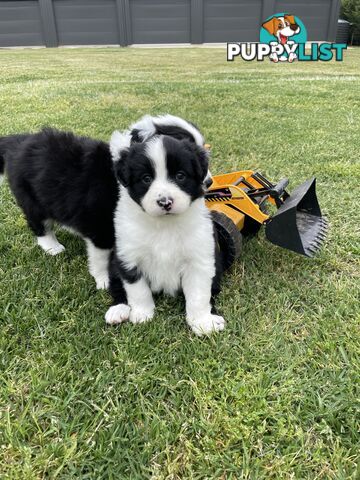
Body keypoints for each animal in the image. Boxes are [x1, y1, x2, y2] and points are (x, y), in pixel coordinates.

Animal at [103, 135, 225, 336]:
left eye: (180, 176)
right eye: (146, 178)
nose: (165, 202)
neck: (164, 225)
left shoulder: (198, 259)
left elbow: (199, 295)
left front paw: (201, 322)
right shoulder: (128, 256)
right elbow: (138, 289)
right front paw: (142, 314)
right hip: (114, 262)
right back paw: (118, 309)